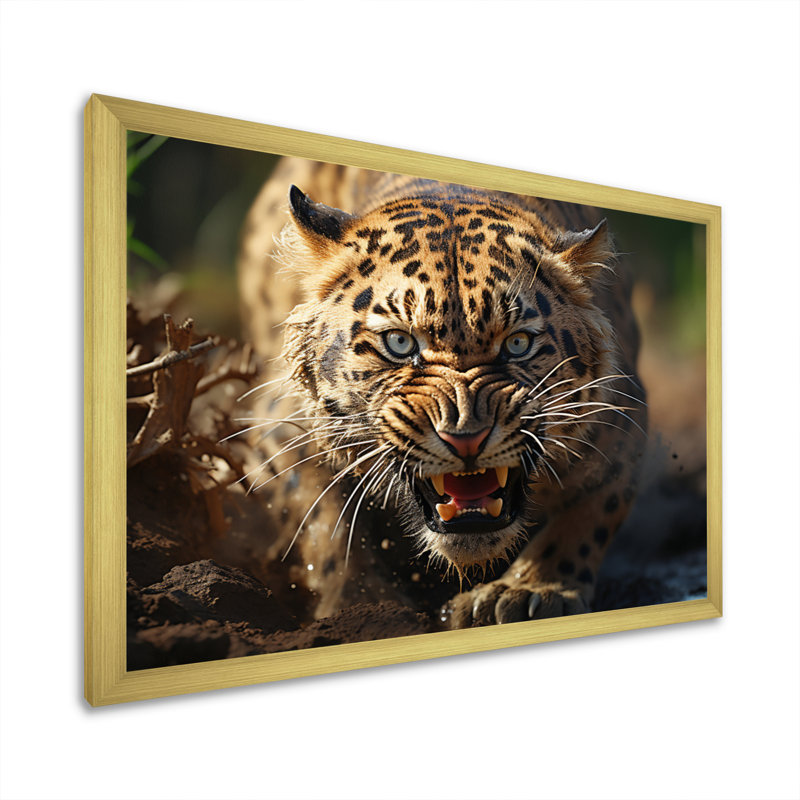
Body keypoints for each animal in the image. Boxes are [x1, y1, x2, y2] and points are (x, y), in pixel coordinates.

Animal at [237, 157, 647, 627]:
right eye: (399, 343)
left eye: (517, 344)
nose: (466, 439)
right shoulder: (283, 427)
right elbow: (325, 531)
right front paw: (364, 610)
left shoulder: (624, 424)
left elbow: (591, 513)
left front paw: (529, 590)